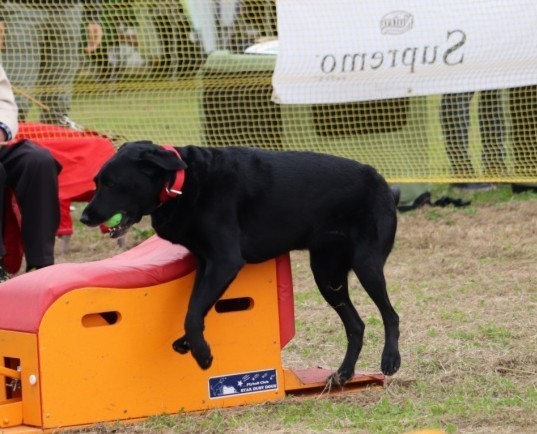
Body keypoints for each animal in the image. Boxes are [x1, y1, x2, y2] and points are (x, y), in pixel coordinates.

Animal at [79, 141, 398, 384]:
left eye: (111, 183)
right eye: (96, 182)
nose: (84, 217)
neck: (183, 182)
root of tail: (384, 183)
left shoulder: (225, 261)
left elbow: (193, 312)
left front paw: (202, 354)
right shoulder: (206, 263)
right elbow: (196, 306)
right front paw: (190, 342)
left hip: (366, 265)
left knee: (390, 315)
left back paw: (390, 360)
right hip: (326, 274)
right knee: (356, 325)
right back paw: (343, 374)